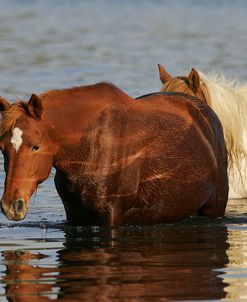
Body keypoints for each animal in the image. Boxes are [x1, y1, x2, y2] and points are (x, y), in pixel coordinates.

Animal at [0, 82, 228, 224]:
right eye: (2, 148)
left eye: (35, 146)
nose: (12, 205)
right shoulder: (74, 215)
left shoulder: (111, 215)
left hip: (214, 207)